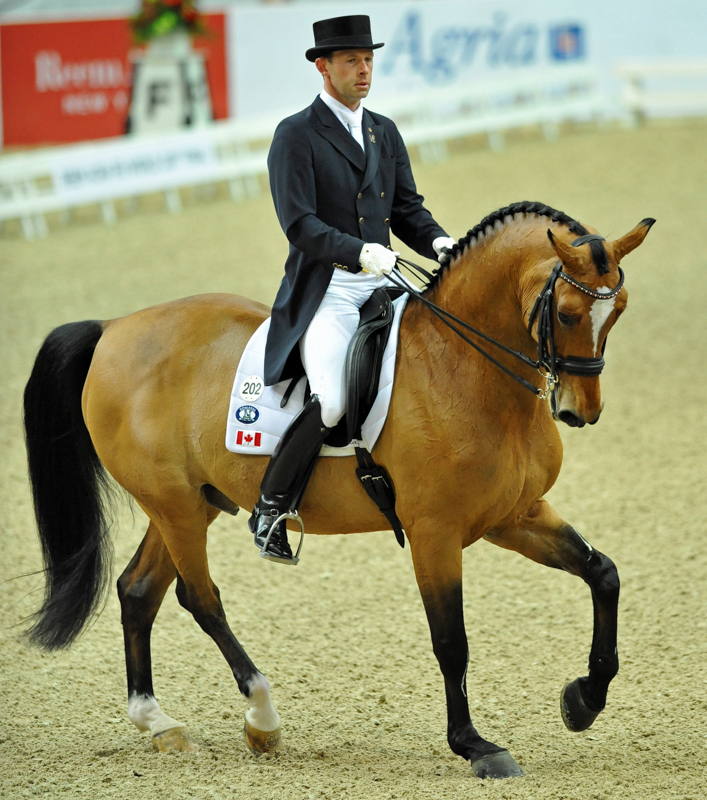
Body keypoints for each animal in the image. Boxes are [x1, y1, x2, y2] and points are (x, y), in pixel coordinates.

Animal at [23, 201, 653, 779]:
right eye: (568, 313)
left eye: (619, 310)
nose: (578, 412)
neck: (464, 366)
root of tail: (113, 329)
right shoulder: (435, 532)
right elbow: (451, 641)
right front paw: (475, 746)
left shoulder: (514, 515)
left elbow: (603, 573)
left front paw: (583, 699)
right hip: (174, 505)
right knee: (200, 599)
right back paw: (262, 719)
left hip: (191, 503)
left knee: (138, 591)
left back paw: (160, 723)